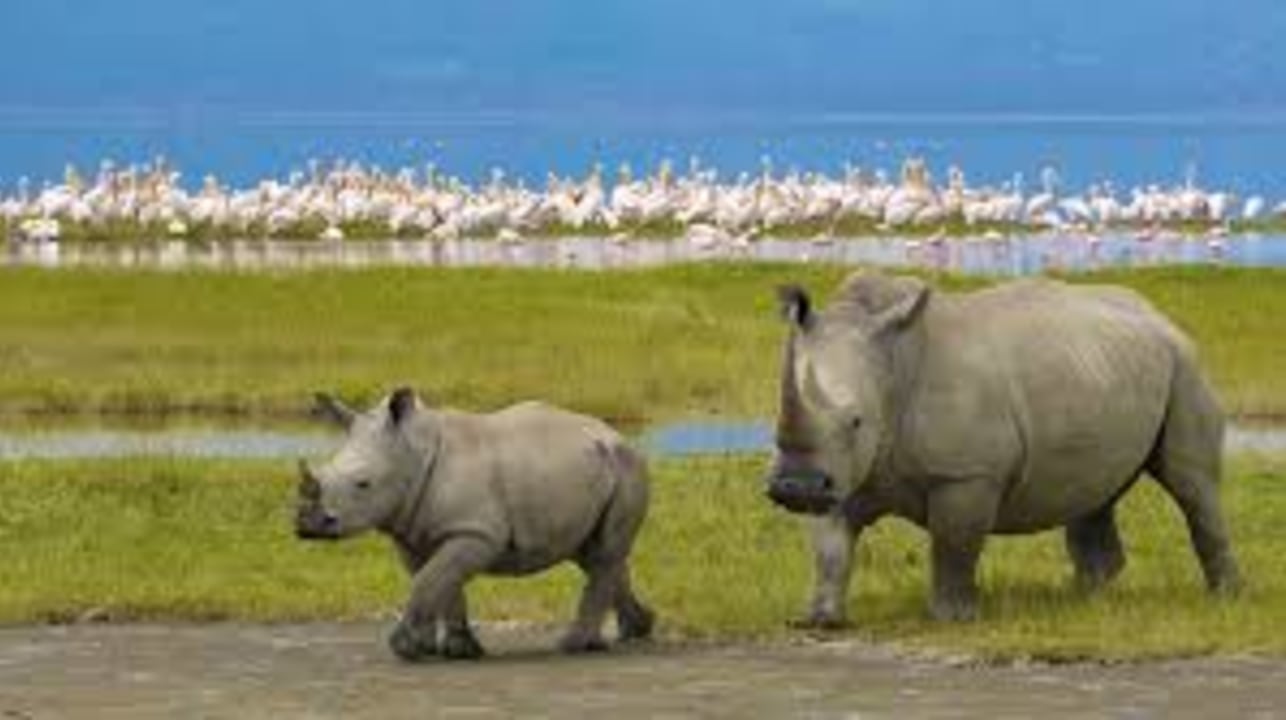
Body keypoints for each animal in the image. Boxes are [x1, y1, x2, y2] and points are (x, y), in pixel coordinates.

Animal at [295, 387, 654, 660]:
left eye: (363, 484)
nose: (307, 525)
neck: (413, 453)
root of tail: (616, 436)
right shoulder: (414, 532)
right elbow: (440, 581)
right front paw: (451, 650)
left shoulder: (476, 532)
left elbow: (430, 580)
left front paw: (405, 649)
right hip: (592, 469)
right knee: (593, 554)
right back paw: (635, 631)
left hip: (627, 468)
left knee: (603, 553)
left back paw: (573, 646)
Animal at [764, 271, 1240, 625]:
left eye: (856, 421)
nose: (793, 487)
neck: (892, 367)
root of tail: (1159, 314)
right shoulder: (839, 471)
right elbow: (830, 548)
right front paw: (819, 620)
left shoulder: (967, 475)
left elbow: (954, 545)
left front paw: (952, 619)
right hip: (1103, 367)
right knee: (1094, 491)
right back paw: (1080, 600)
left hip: (1186, 366)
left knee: (1192, 484)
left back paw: (1226, 599)